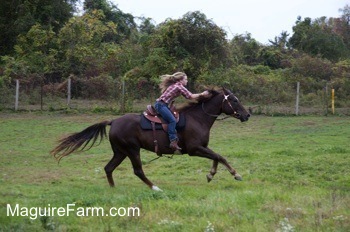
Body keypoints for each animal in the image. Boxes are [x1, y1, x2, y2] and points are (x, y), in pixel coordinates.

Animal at [51, 88, 249, 191]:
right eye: (234, 100)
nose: (247, 115)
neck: (198, 118)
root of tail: (113, 121)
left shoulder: (201, 148)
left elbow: (216, 157)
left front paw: (210, 175)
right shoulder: (194, 149)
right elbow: (219, 156)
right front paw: (235, 174)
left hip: (120, 152)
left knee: (109, 168)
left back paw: (114, 189)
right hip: (132, 150)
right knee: (138, 171)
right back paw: (155, 188)